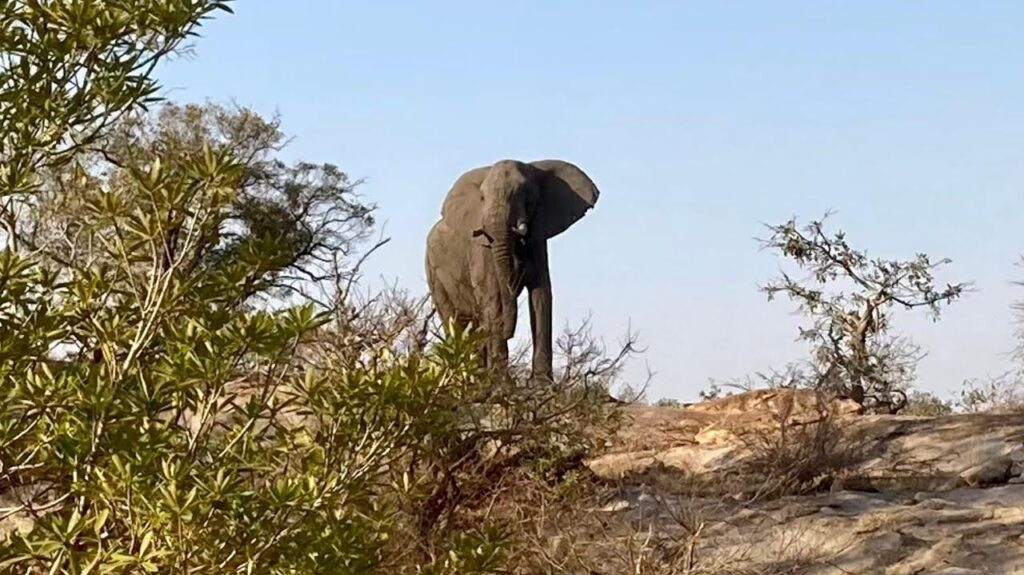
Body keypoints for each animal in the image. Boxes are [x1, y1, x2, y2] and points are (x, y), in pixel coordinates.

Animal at [423, 156, 598, 380]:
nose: (510, 333)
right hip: (433, 273)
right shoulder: (481, 250)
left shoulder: (538, 241)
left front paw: (542, 384)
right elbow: (494, 299)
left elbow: (541, 296)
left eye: (527, 195)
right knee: (455, 322)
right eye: (482, 197)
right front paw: (501, 383)